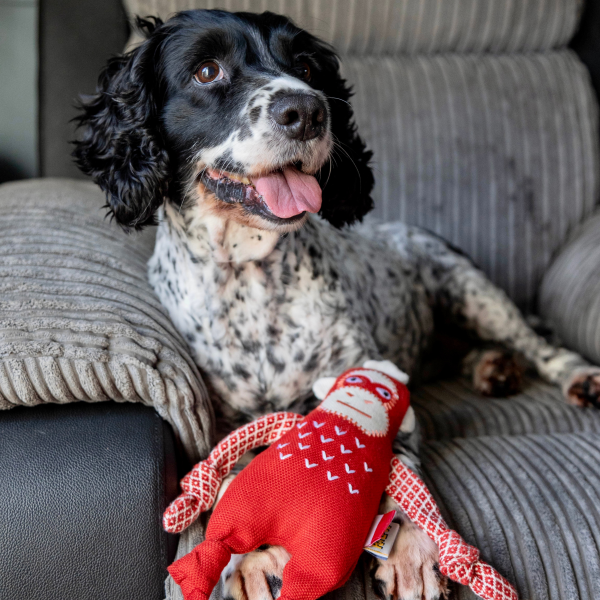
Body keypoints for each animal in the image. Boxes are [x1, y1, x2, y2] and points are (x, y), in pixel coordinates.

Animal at [74, 9, 600, 600]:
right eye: (207, 71)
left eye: (305, 66)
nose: (307, 111)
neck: (251, 280)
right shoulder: (222, 420)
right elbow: (234, 473)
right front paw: (249, 560)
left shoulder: (372, 378)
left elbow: (396, 461)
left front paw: (410, 552)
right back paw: (493, 368)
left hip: (469, 287)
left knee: (537, 343)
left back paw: (568, 373)